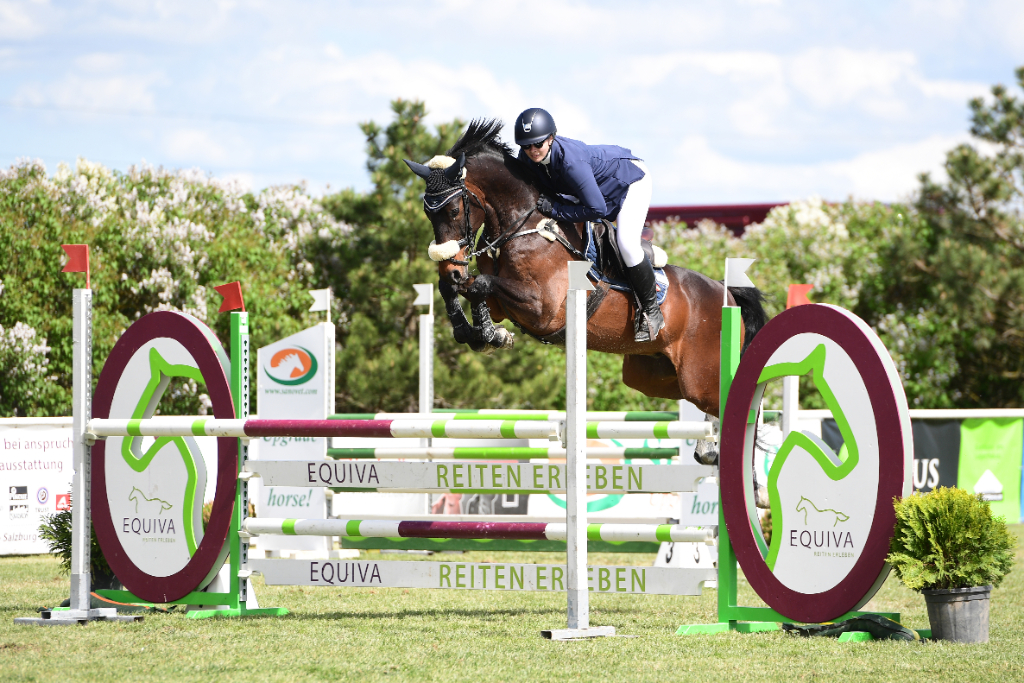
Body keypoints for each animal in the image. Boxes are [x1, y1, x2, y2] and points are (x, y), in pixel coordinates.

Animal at [403, 120, 765, 417]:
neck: (523, 224)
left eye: (452, 210)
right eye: (427, 213)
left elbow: (479, 284)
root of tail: (727, 294)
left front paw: (486, 332)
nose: (450, 267)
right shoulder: (504, 302)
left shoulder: (542, 309)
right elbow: (468, 288)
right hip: (656, 377)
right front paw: (483, 333)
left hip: (701, 380)